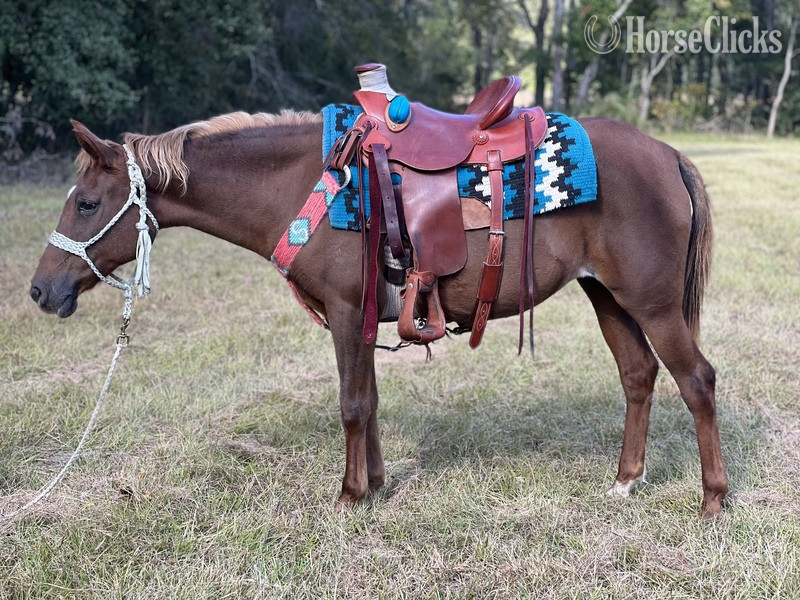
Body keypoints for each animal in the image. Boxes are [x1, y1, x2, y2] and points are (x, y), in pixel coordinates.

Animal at [30, 109, 728, 519]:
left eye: (87, 204)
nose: (40, 290)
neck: (309, 185)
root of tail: (667, 154)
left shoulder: (344, 312)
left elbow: (350, 404)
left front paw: (348, 495)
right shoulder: (361, 319)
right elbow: (369, 400)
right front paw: (379, 482)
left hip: (653, 304)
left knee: (697, 381)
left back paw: (713, 500)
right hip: (609, 296)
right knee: (639, 376)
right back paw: (626, 481)